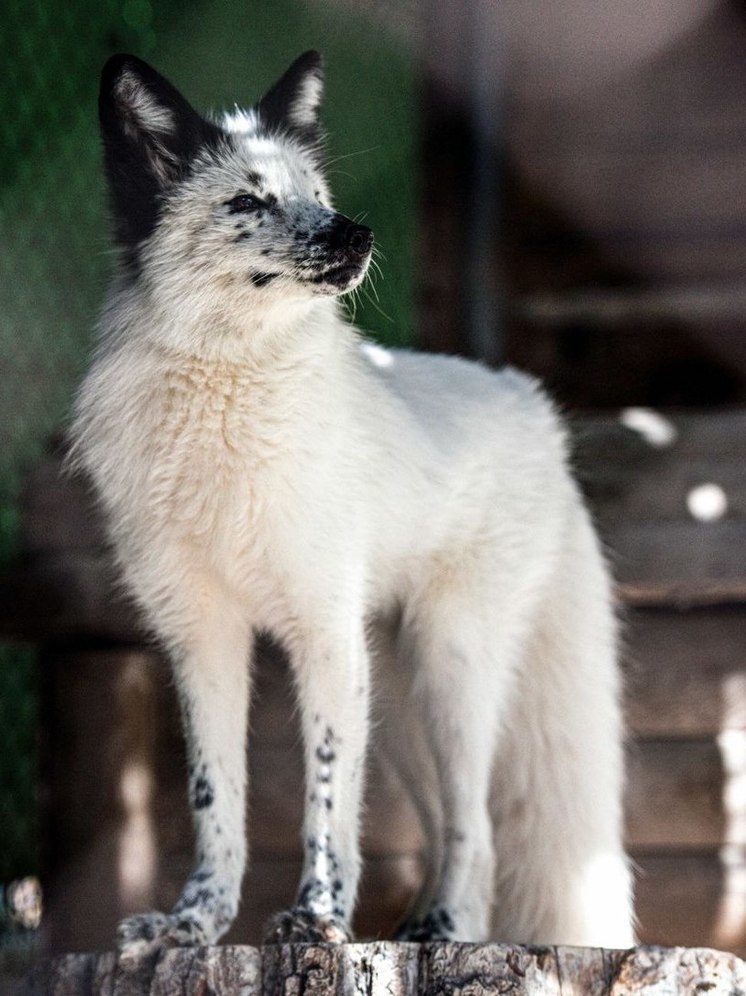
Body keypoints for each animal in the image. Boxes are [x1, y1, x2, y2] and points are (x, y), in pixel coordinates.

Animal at [70, 48, 632, 956]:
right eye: (248, 200)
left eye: (317, 195)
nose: (356, 233)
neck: (226, 399)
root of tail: (534, 405)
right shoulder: (202, 638)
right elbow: (214, 801)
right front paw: (195, 925)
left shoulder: (322, 632)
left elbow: (325, 801)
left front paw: (319, 920)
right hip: (396, 699)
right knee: (440, 823)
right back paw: (419, 930)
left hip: (449, 664)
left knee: (476, 826)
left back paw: (448, 928)